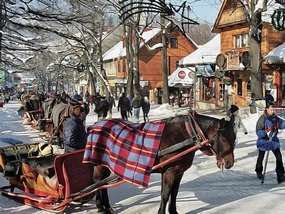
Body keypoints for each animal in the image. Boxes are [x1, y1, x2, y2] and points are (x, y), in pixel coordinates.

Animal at [90, 113, 235, 213]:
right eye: (223, 138)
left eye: (234, 137)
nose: (230, 163)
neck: (186, 135)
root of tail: (95, 124)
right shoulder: (169, 172)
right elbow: (165, 194)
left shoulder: (178, 172)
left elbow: (174, 193)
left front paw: (173, 211)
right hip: (99, 165)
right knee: (98, 183)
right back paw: (101, 207)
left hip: (106, 164)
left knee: (103, 184)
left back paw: (107, 207)